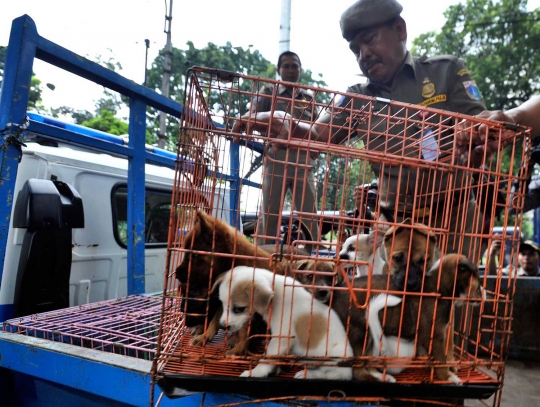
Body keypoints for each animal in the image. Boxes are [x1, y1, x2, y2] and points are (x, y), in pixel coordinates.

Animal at [215, 266, 354, 380]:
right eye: (222, 303)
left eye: (239, 309)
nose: (222, 326)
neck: (276, 295)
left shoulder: (281, 337)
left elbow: (266, 359)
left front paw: (255, 373)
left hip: (334, 361)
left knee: (330, 374)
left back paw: (306, 374)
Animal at [370, 253, 484, 384]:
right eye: (478, 285)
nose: (484, 298)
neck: (440, 287)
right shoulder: (435, 334)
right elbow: (440, 359)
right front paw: (447, 375)